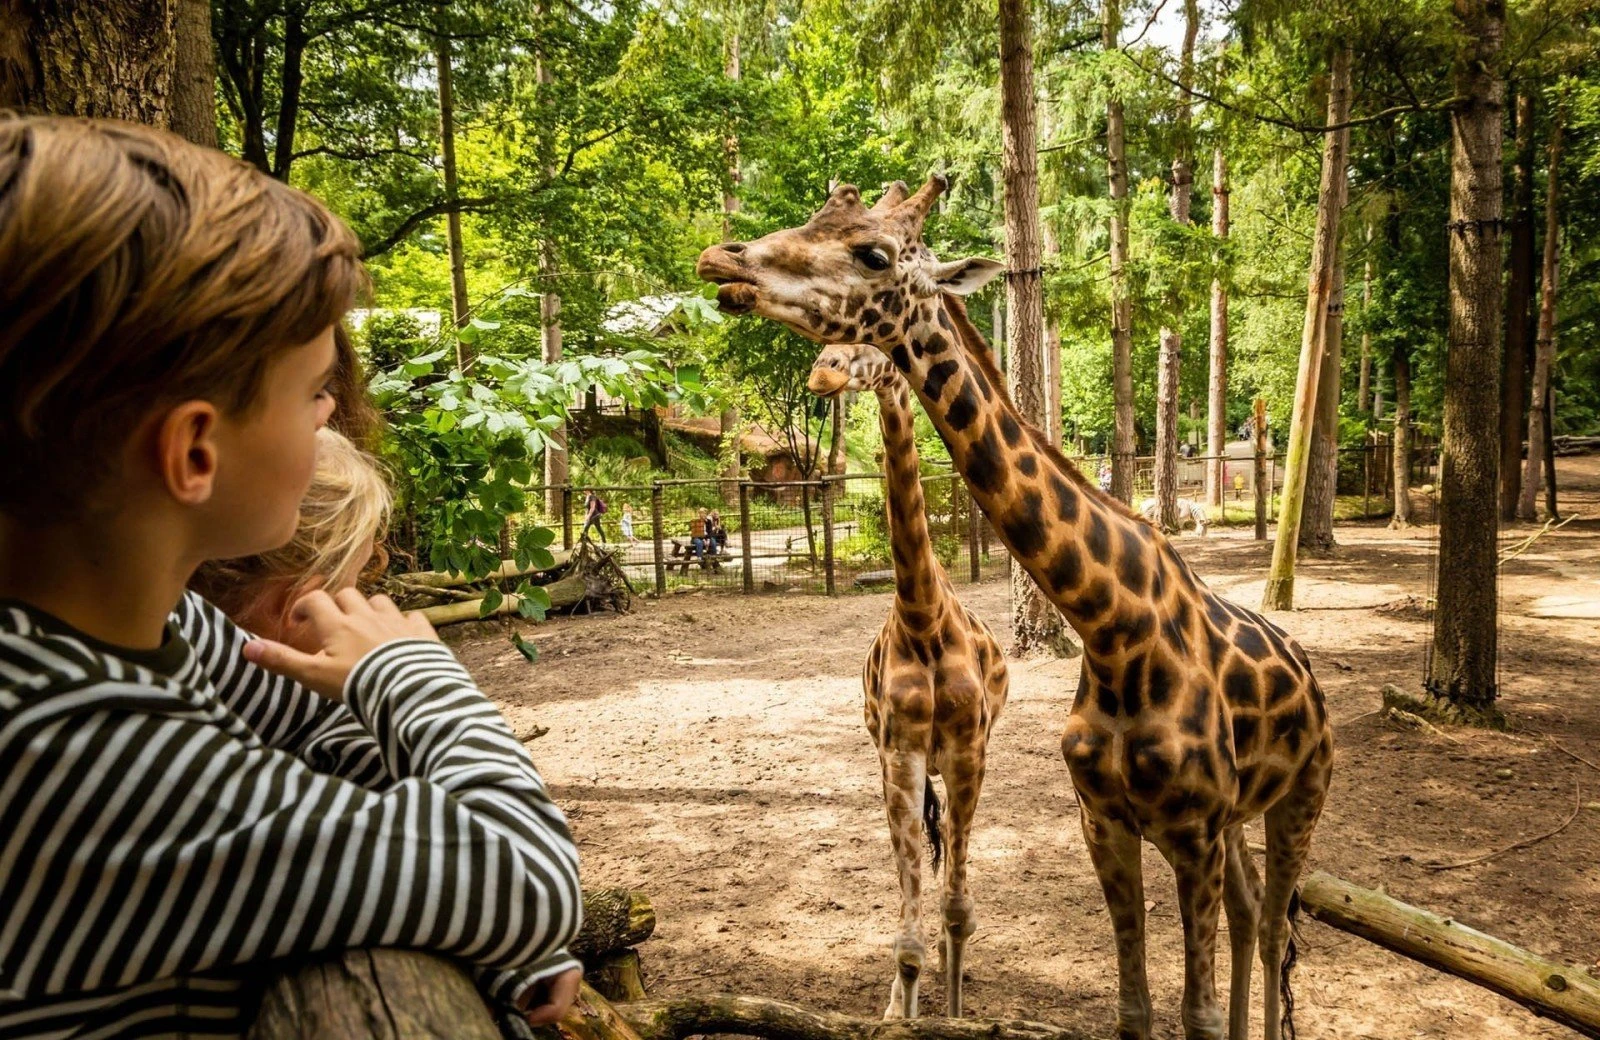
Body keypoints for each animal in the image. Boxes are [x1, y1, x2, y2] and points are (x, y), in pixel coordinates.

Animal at [808, 344, 1009, 1020]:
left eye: (869, 346)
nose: (822, 371)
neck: (923, 618)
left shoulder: (970, 750)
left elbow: (958, 913)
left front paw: (954, 1013)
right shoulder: (900, 754)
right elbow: (908, 939)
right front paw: (902, 1013)